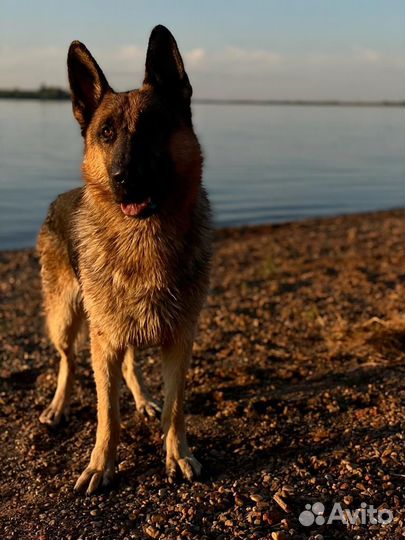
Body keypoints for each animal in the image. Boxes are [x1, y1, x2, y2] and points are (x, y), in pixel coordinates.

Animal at [36, 26, 211, 498]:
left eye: (152, 128)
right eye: (106, 133)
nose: (123, 180)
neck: (143, 243)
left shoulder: (179, 340)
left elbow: (175, 407)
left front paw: (177, 453)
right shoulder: (105, 344)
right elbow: (106, 414)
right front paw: (102, 464)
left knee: (131, 364)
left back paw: (144, 398)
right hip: (68, 318)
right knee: (67, 360)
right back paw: (58, 406)